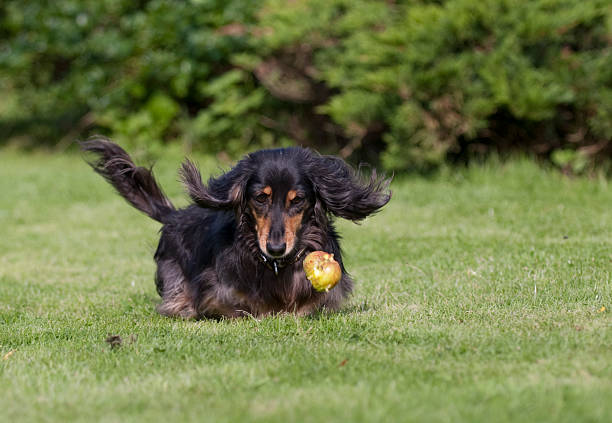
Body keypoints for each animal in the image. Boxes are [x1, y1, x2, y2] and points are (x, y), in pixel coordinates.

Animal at [81, 137, 390, 320]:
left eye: (297, 199)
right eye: (261, 197)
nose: (276, 248)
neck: (275, 266)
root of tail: (175, 217)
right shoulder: (216, 292)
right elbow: (245, 305)